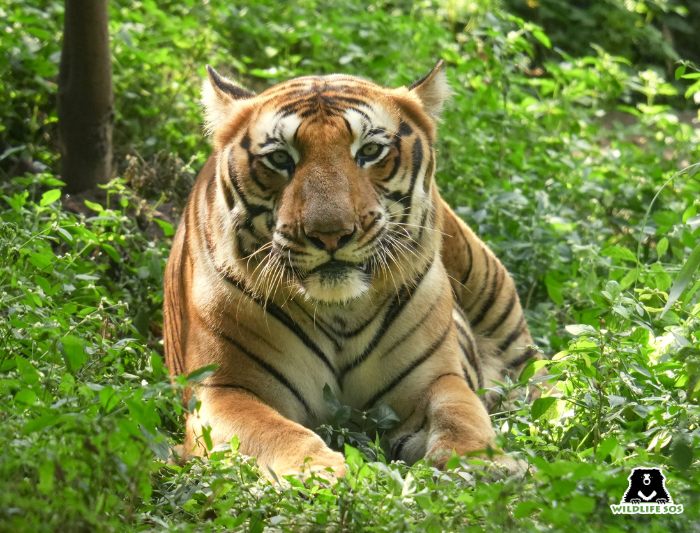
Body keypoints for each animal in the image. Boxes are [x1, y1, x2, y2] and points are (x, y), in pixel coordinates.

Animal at [163, 61, 538, 478]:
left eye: (370, 151)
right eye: (280, 159)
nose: (330, 234)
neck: (339, 310)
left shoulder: (435, 378)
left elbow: (461, 413)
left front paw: (483, 465)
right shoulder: (223, 390)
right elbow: (273, 431)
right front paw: (322, 471)